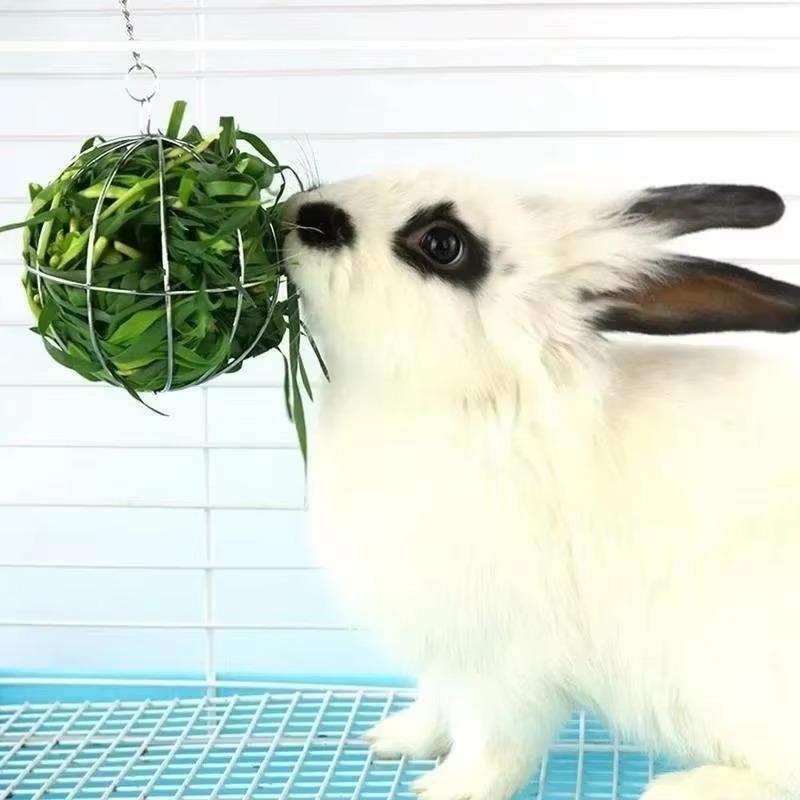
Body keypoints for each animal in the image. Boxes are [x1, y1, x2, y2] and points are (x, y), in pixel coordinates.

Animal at [282, 170, 800, 800]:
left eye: (443, 244)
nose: (303, 214)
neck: (476, 398)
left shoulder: (504, 665)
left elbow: (491, 744)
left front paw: (447, 788)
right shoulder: (444, 649)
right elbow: (434, 702)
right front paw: (395, 740)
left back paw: (685, 787)